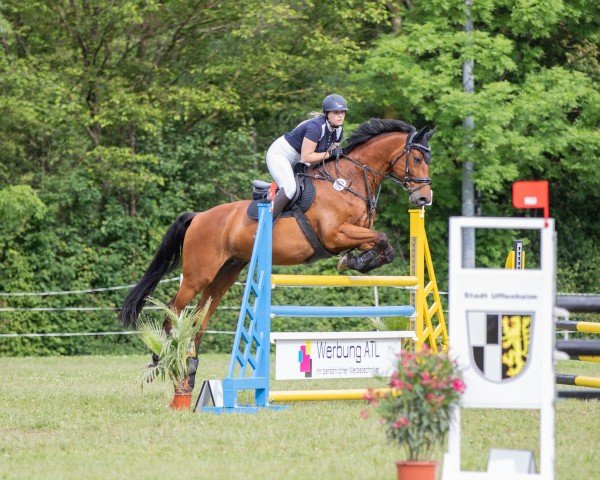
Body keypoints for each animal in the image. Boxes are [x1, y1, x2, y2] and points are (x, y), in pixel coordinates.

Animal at [119, 118, 434, 392]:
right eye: (418, 159)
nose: (424, 199)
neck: (349, 181)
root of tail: (198, 216)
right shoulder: (335, 235)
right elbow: (381, 238)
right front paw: (352, 261)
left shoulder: (355, 234)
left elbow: (383, 247)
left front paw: (356, 261)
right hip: (199, 274)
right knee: (173, 309)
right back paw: (161, 359)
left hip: (226, 273)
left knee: (199, 317)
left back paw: (190, 369)